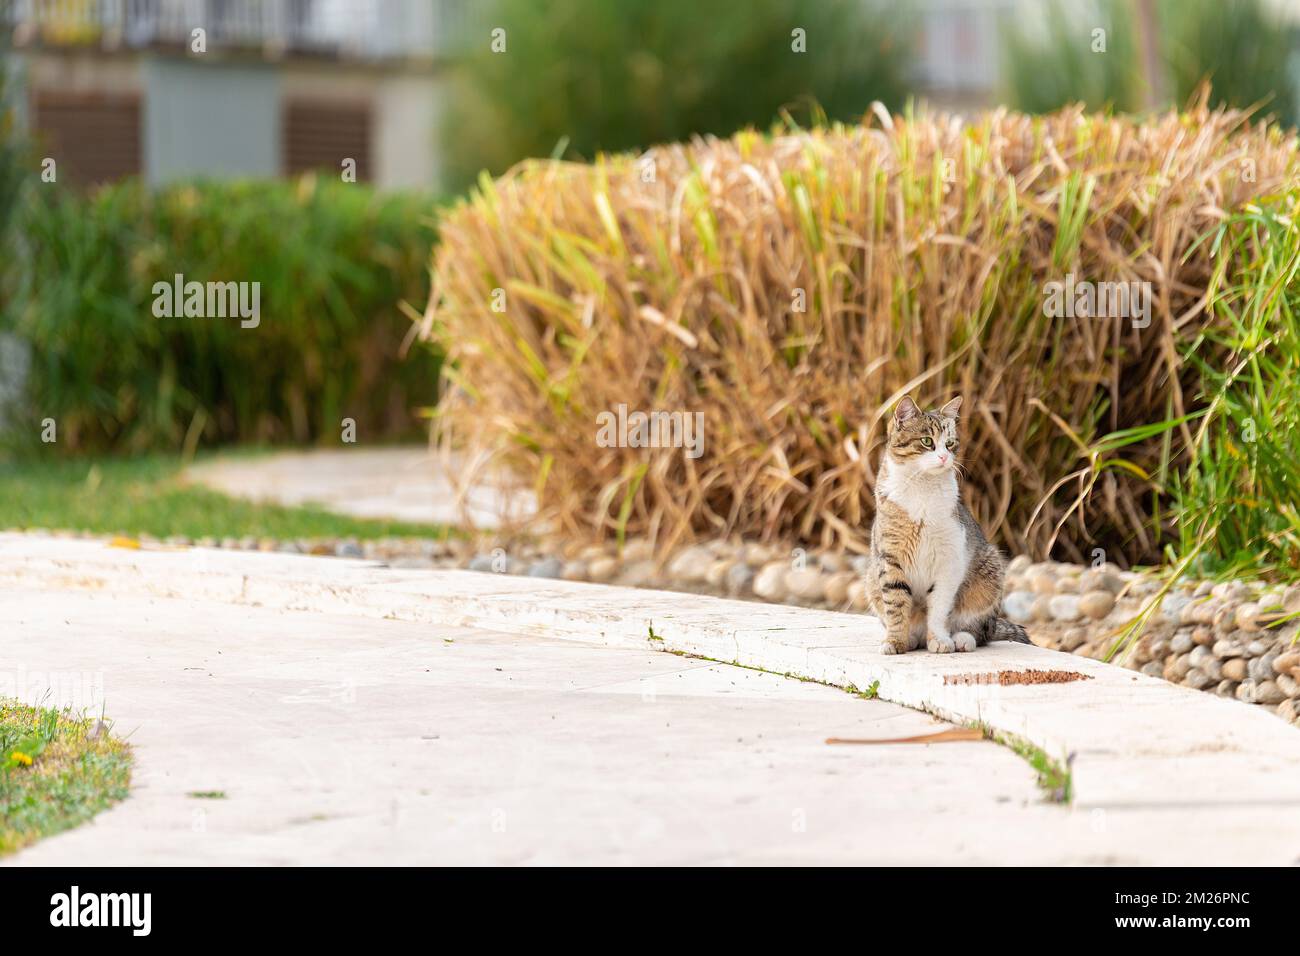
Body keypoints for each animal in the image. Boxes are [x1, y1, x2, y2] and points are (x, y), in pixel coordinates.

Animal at [868, 392, 1029, 655]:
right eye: (927, 441)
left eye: (951, 443)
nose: (944, 457)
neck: (923, 486)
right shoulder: (890, 558)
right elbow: (896, 605)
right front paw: (895, 641)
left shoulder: (949, 559)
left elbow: (939, 606)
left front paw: (940, 640)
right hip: (870, 579)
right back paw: (912, 638)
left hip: (990, 574)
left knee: (981, 630)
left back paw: (962, 639)